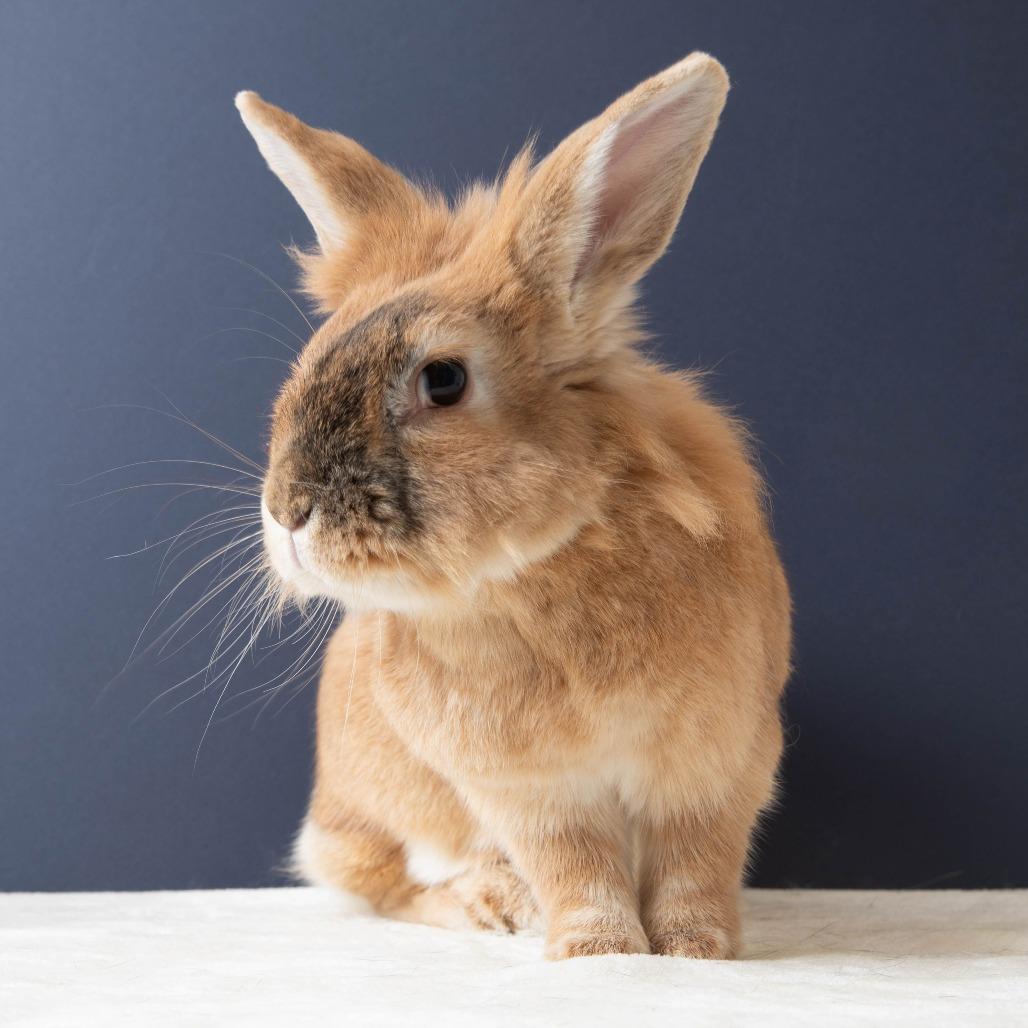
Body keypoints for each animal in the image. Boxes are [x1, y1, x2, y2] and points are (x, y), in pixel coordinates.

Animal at [235, 51, 791, 960]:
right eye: (311, 359)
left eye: (444, 380)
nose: (288, 512)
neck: (542, 570)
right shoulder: (530, 789)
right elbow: (576, 867)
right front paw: (602, 951)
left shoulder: (719, 761)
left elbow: (695, 865)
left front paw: (695, 951)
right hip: (365, 816)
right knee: (383, 882)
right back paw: (492, 904)